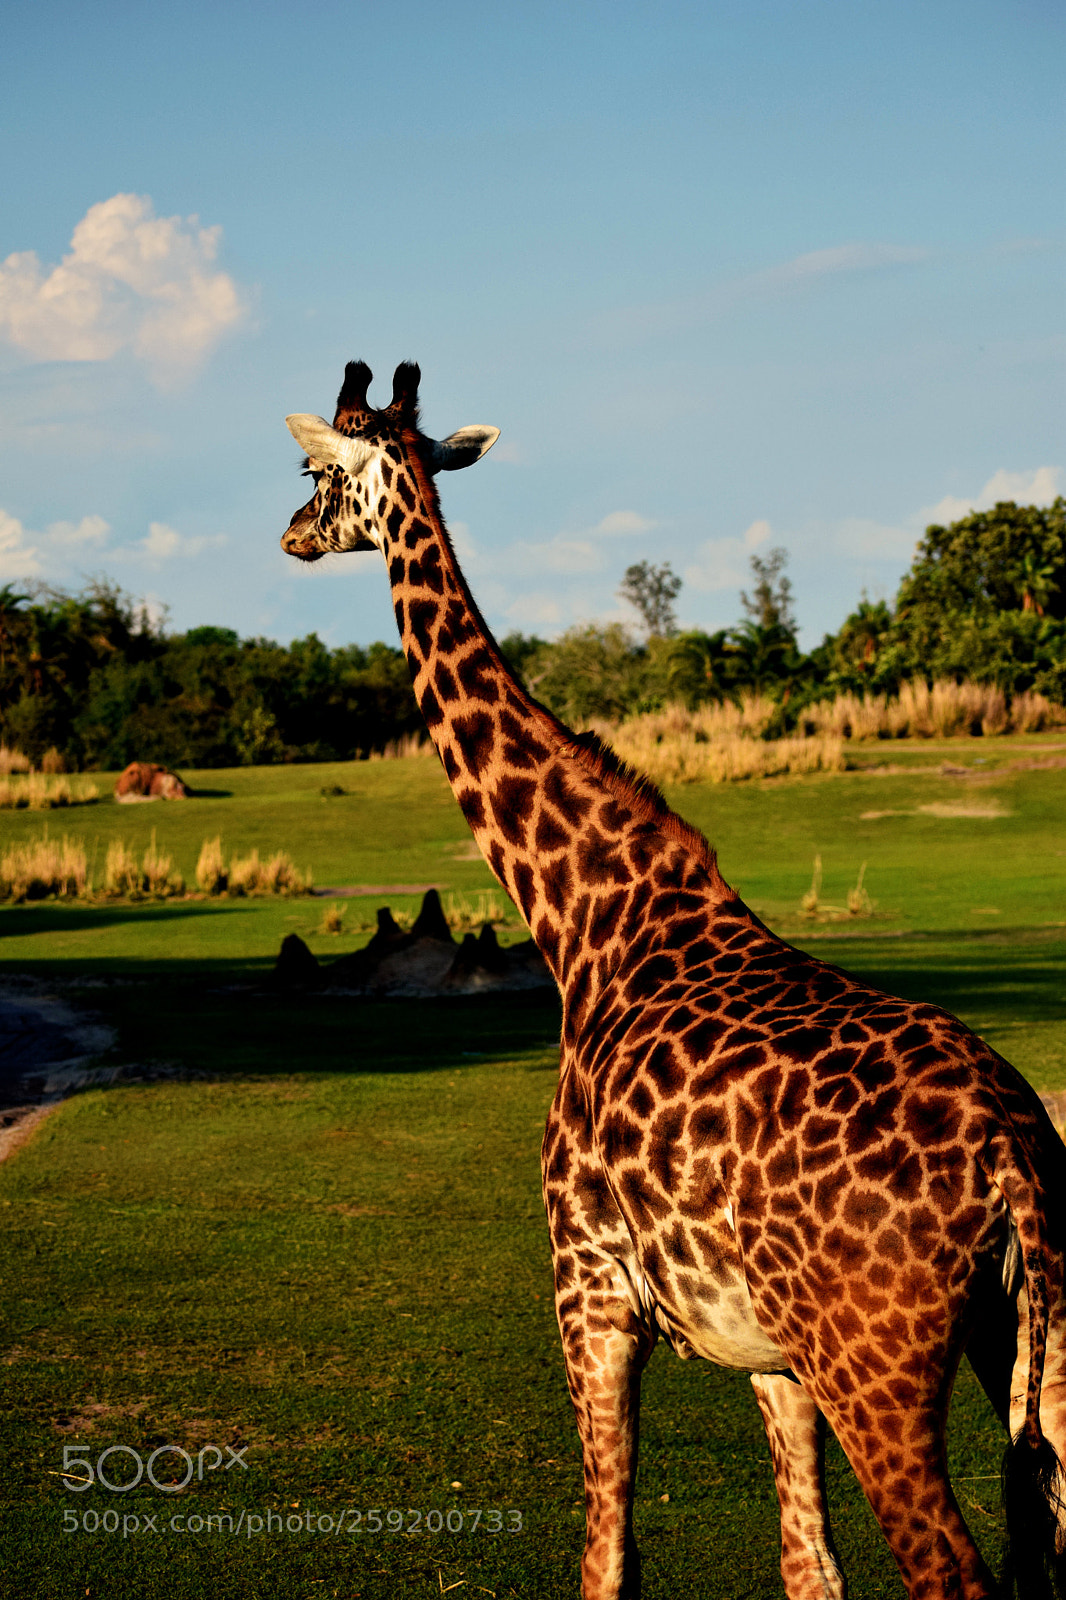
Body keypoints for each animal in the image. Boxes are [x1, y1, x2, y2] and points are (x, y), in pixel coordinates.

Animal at [280, 360, 1066, 1600]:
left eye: (316, 471)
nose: (291, 534)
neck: (586, 920)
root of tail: (1010, 1156)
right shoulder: (771, 1355)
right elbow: (808, 1568)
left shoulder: (589, 1286)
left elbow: (608, 1556)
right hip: (1031, 1329)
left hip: (878, 1359)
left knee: (950, 1566)